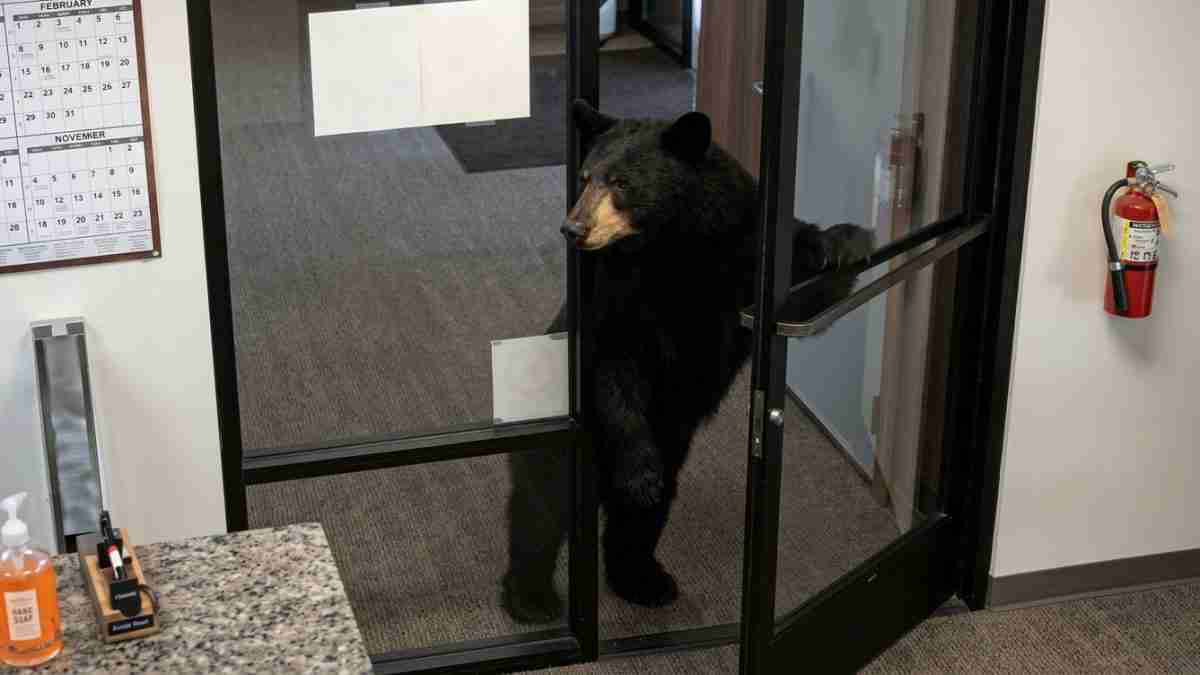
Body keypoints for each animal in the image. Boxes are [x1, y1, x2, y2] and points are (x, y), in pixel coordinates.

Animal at [502, 101, 873, 623]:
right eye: (585, 175)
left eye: (621, 181)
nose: (573, 228)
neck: (675, 244)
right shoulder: (615, 291)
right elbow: (614, 367)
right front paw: (640, 472)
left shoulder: (741, 247)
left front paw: (842, 242)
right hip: (564, 433)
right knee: (542, 502)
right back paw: (531, 596)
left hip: (673, 446)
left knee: (642, 516)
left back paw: (643, 580)